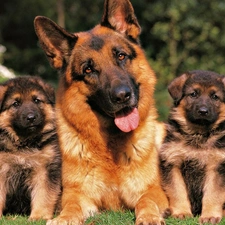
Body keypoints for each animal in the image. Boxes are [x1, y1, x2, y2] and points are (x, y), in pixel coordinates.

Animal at [0, 76, 61, 221]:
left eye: (36, 100)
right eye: (16, 103)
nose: (31, 118)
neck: (25, 143)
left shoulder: (45, 170)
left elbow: (43, 194)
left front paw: (39, 216)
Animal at [34, 0, 170, 225]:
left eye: (121, 56)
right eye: (88, 70)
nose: (122, 96)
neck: (110, 147)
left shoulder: (152, 190)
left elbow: (146, 201)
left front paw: (149, 216)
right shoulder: (77, 194)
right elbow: (71, 207)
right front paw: (64, 218)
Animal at [159, 70, 225, 223]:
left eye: (215, 96)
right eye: (193, 94)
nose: (203, 111)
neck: (198, 134)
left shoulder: (217, 166)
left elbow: (213, 194)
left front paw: (210, 215)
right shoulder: (172, 163)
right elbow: (177, 191)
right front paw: (181, 212)